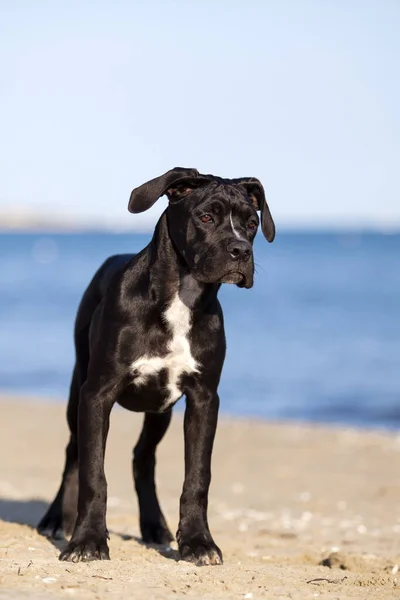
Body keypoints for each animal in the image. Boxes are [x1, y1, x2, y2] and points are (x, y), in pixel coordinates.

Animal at [37, 166, 276, 564]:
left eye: (252, 222)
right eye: (206, 217)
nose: (241, 250)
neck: (181, 296)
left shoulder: (204, 399)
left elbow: (197, 476)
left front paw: (198, 542)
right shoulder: (97, 394)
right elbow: (93, 472)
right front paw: (87, 540)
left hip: (160, 409)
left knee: (142, 458)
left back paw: (153, 525)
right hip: (77, 389)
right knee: (74, 452)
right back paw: (57, 519)